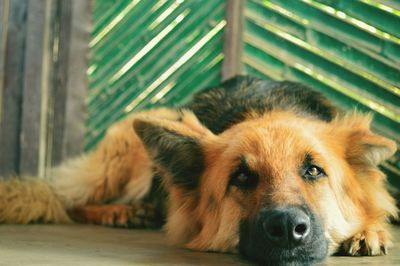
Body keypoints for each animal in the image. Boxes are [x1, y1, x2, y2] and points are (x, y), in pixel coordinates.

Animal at [0, 76, 396, 264]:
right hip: (123, 157)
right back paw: (119, 212)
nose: (286, 229)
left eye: (313, 170)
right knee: (66, 201)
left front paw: (369, 230)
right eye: (241, 177)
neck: (264, 106)